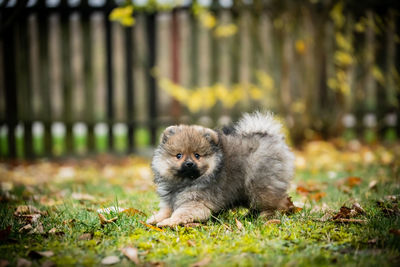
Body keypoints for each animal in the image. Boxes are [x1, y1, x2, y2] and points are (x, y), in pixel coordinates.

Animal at [147, 112, 294, 227]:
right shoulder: (170, 200)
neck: (183, 182)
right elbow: (166, 210)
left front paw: (168, 222)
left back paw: (265, 216)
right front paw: (155, 219)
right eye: (179, 155)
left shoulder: (195, 202)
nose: (189, 163)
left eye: (197, 155)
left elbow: (180, 213)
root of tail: (270, 136)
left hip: (260, 185)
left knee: (274, 202)